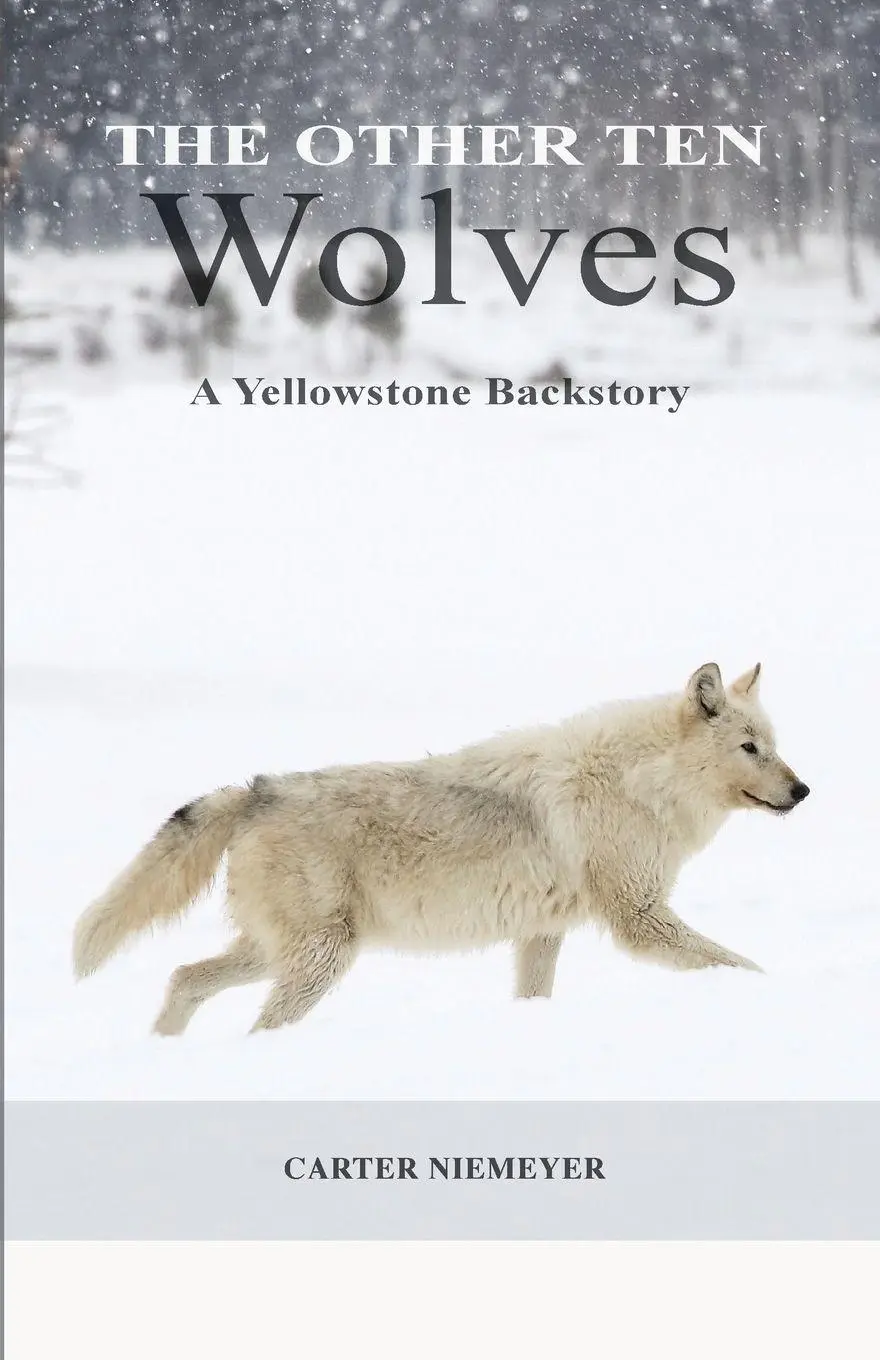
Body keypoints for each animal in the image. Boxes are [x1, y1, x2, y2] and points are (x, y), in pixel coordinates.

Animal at [72, 661, 809, 1035]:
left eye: (774, 746)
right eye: (750, 748)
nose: (803, 791)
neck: (639, 782)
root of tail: (257, 791)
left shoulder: (542, 933)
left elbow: (533, 998)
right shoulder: (640, 918)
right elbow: (739, 963)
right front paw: (773, 992)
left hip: (276, 954)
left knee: (184, 978)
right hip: (321, 960)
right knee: (256, 1021)